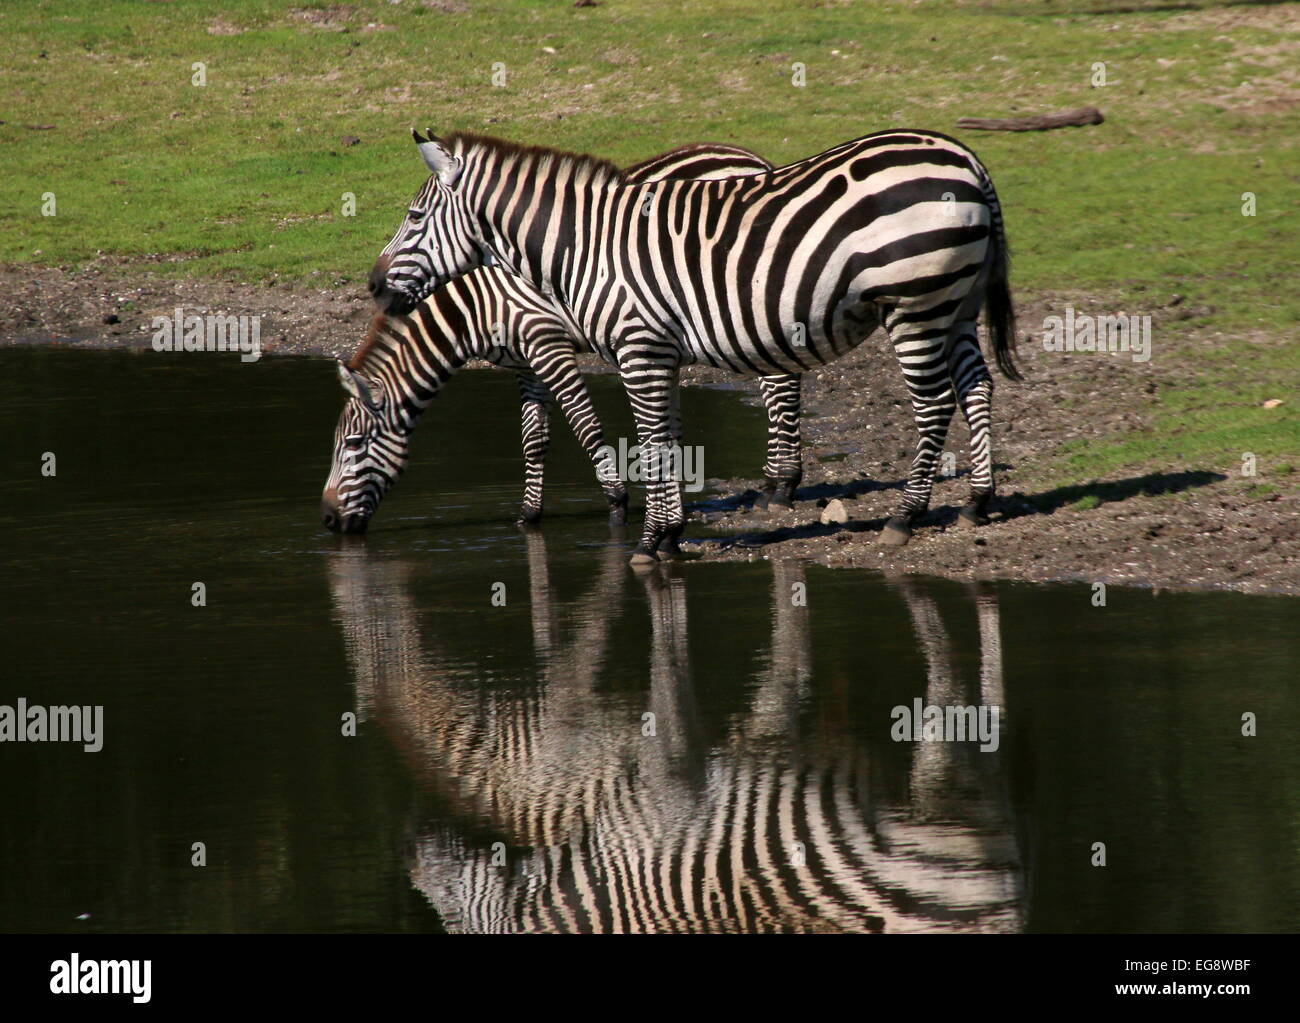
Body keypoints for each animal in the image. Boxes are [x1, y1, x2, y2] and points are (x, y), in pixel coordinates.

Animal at [319, 148, 800, 540]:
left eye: (353, 444)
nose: (326, 521)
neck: (476, 304)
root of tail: (751, 159)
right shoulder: (524, 361)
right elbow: (535, 438)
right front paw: (528, 516)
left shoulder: (545, 340)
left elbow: (585, 426)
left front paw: (617, 504)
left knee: (780, 382)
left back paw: (781, 483)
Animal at [371, 129, 1019, 564]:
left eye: (414, 215)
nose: (374, 286)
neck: (582, 249)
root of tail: (967, 158)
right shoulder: (659, 352)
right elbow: (668, 439)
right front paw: (671, 535)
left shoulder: (633, 347)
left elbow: (651, 443)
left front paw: (649, 540)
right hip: (955, 303)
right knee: (976, 385)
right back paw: (977, 502)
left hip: (916, 304)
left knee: (933, 405)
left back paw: (905, 517)